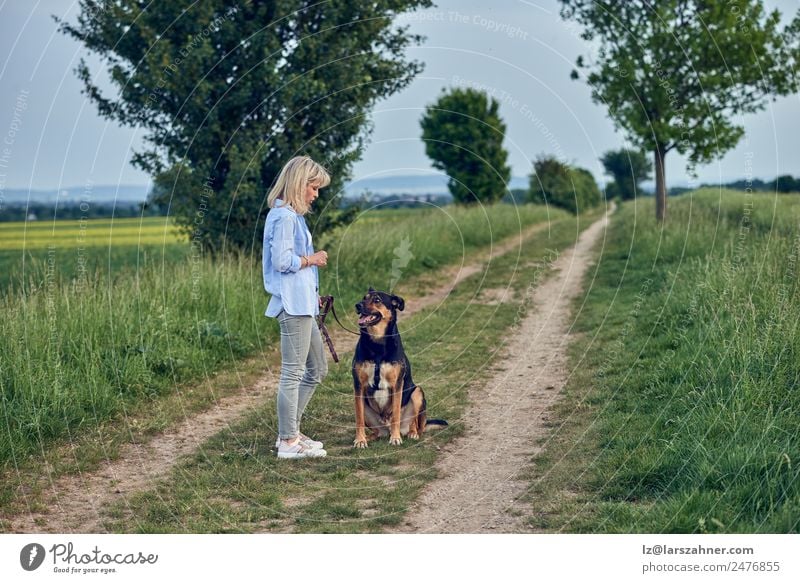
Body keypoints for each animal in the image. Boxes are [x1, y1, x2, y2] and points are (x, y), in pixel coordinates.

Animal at [352, 286, 446, 448]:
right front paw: (360, 440)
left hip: (417, 392)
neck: (377, 344)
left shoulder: (397, 384)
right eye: (364, 298)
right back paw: (370, 437)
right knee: (375, 430)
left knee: (415, 424)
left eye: (377, 300)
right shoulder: (358, 385)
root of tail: (385, 428)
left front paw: (395, 439)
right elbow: (359, 419)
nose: (357, 305)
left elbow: (396, 414)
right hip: (367, 407)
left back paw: (412, 433)